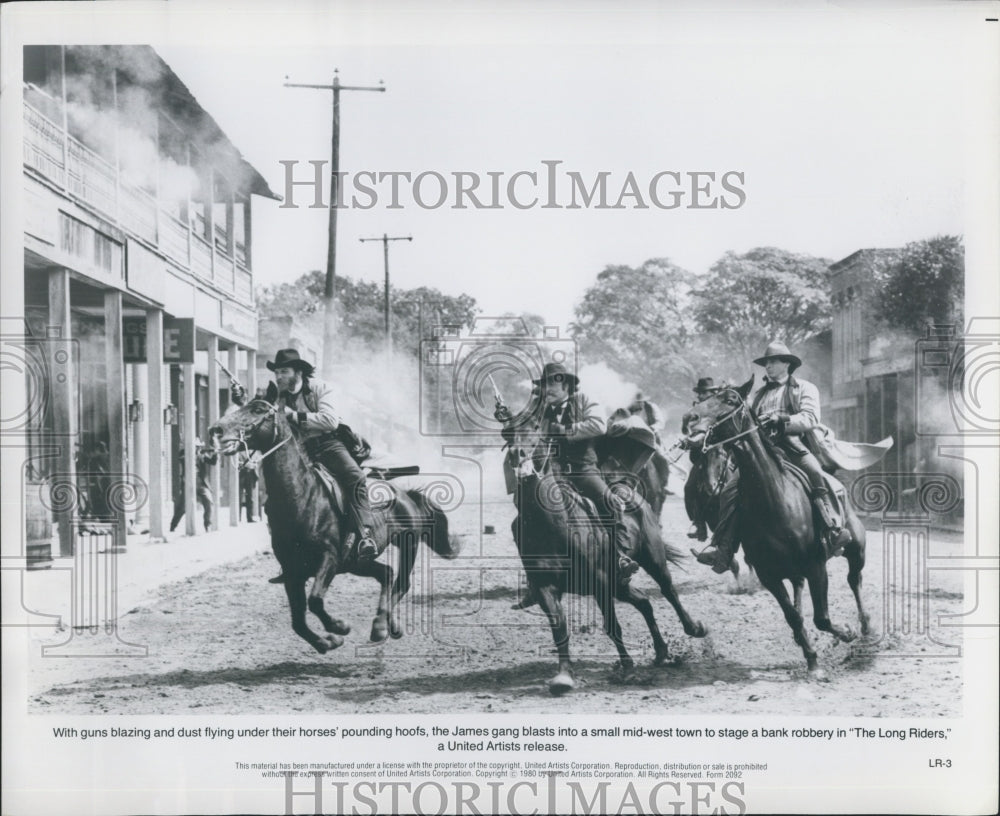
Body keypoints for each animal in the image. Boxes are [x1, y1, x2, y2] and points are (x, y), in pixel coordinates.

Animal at [213, 398, 462, 652]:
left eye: (258, 410)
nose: (217, 430)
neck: (302, 497)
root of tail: (406, 495)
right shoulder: (293, 572)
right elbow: (298, 622)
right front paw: (328, 641)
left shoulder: (329, 558)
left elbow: (315, 601)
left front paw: (339, 627)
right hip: (356, 562)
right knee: (386, 574)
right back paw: (386, 625)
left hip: (407, 545)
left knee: (402, 583)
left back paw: (381, 626)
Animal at [508, 428, 712, 696]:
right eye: (508, 435)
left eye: (535, 434)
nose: (517, 454)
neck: (552, 525)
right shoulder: (545, 588)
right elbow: (559, 628)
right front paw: (564, 677)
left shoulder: (601, 582)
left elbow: (612, 626)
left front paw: (628, 668)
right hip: (619, 582)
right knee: (644, 602)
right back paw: (660, 651)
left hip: (652, 560)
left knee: (668, 591)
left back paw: (694, 628)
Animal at [684, 386, 872, 672]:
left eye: (730, 400)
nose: (689, 418)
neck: (775, 500)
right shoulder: (768, 574)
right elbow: (793, 616)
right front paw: (812, 658)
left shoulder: (816, 566)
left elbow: (822, 618)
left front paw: (846, 633)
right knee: (800, 588)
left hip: (856, 547)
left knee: (854, 579)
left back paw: (865, 628)